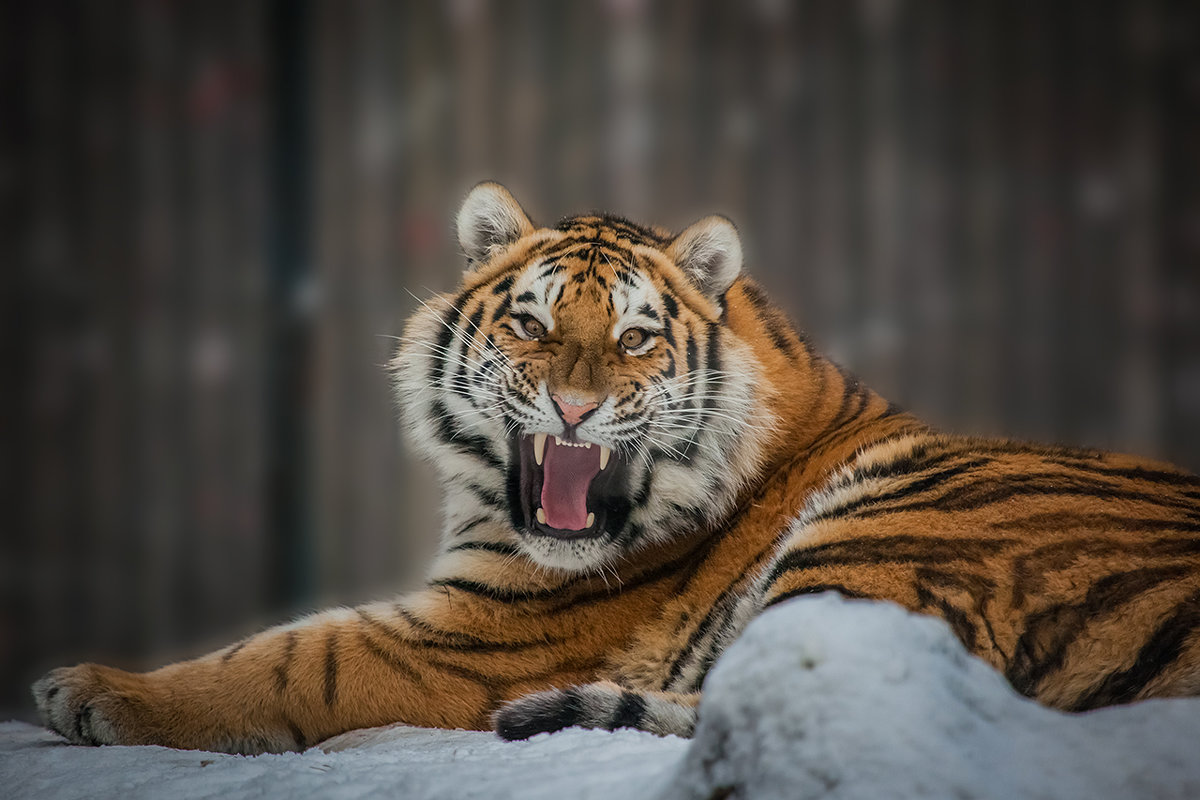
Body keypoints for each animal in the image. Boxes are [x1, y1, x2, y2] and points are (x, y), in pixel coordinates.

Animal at [32, 184, 1200, 753]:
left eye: (637, 338)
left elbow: (282, 658)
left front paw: (87, 691)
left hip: (883, 527)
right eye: (532, 324)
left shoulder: (465, 637)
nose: (576, 406)